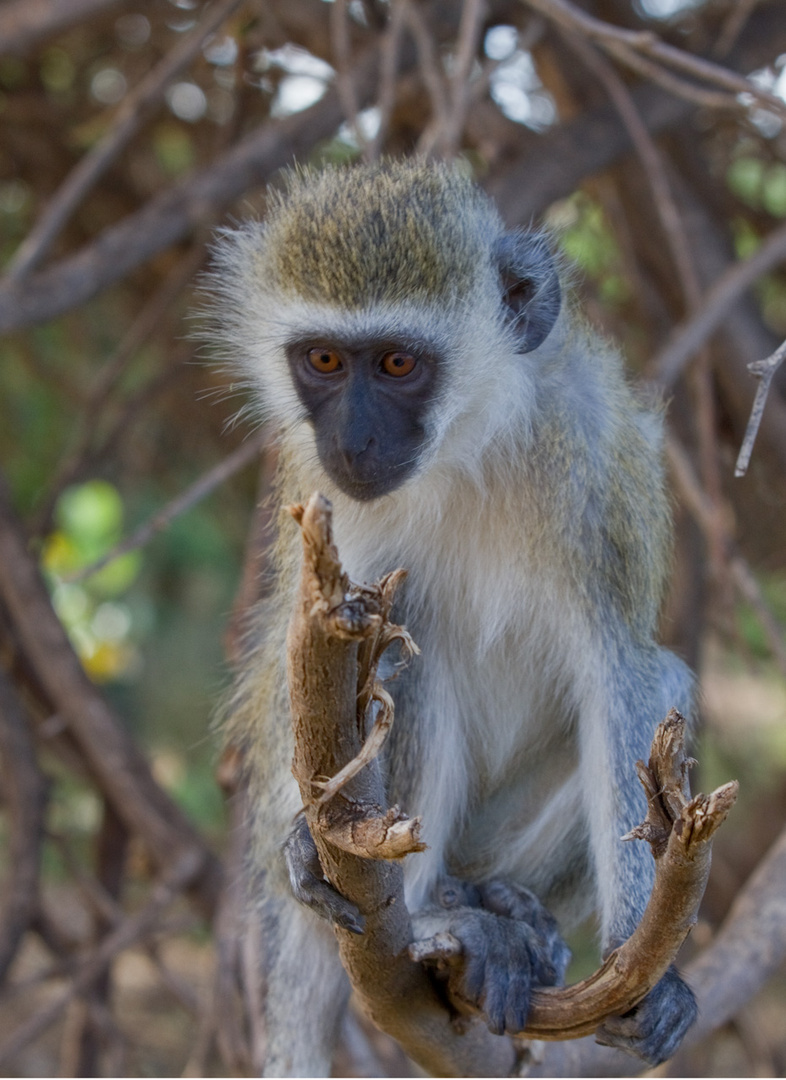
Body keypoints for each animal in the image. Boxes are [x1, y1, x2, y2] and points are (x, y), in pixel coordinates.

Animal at [207, 157, 695, 1071]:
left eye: (399, 364)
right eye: (325, 360)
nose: (354, 440)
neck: (470, 446)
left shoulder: (594, 457)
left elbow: (620, 673)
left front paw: (642, 969)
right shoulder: (327, 507)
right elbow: (322, 662)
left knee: (666, 677)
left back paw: (503, 903)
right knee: (406, 662)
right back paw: (433, 912)